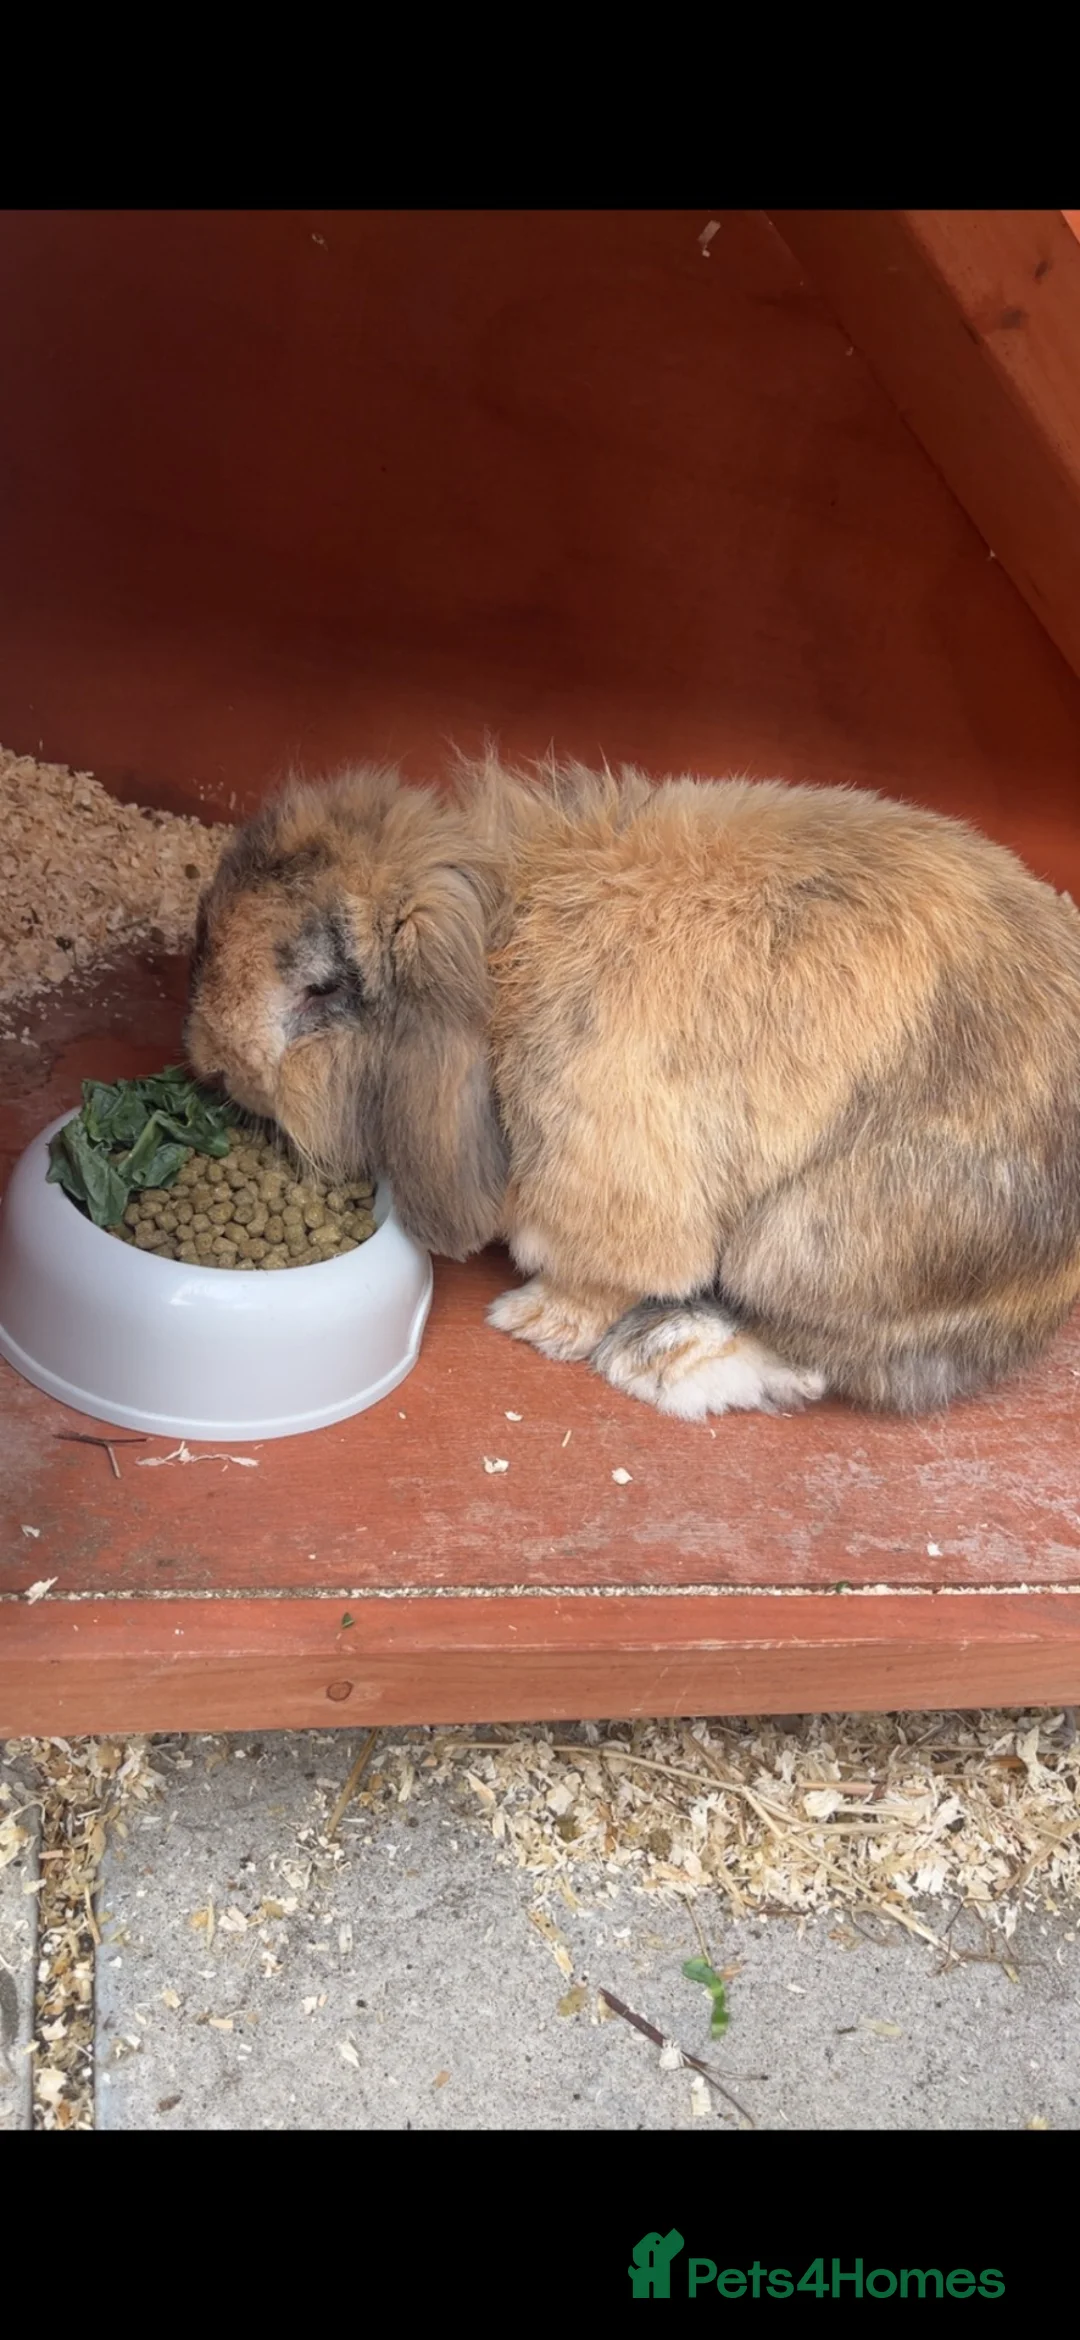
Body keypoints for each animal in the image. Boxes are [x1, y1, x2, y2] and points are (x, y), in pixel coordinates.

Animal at [185, 752, 1080, 1420]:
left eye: (321, 991)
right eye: (204, 932)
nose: (207, 1063)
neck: (501, 956)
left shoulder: (607, 1181)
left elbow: (604, 1276)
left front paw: (537, 1323)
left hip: (809, 1241)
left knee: (834, 1353)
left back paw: (662, 1358)